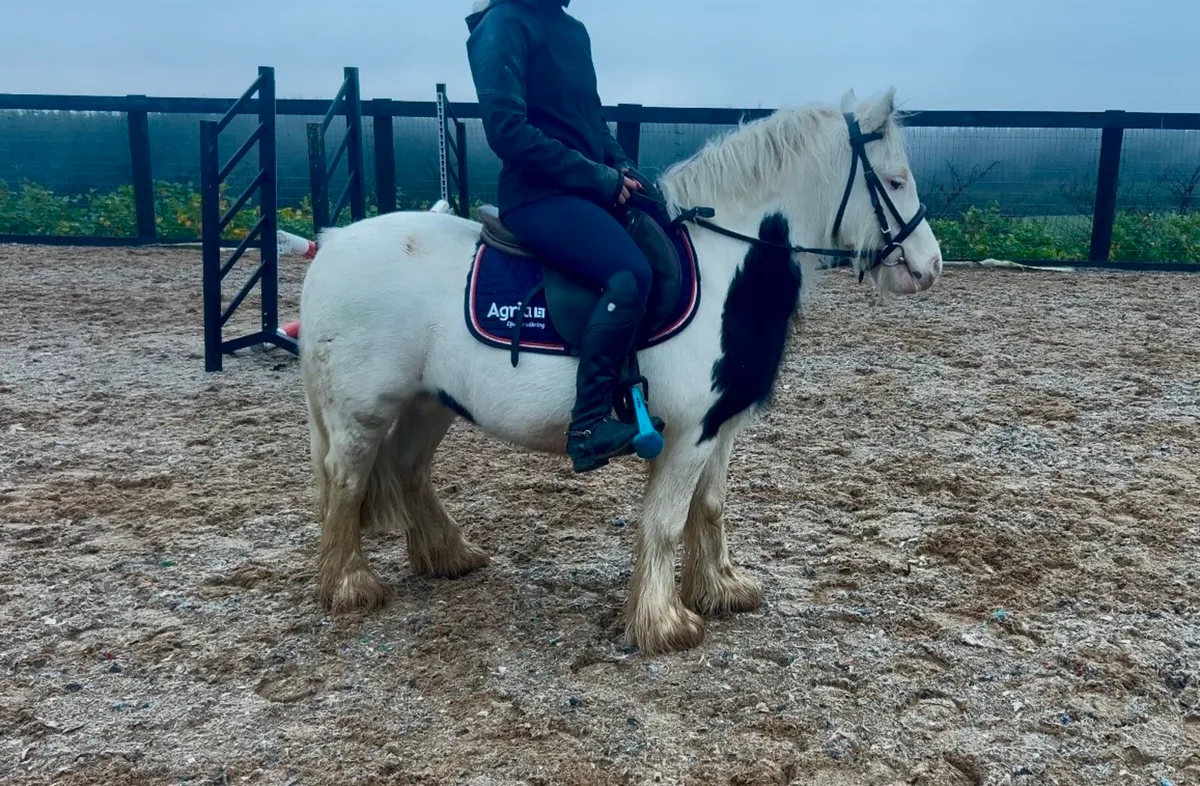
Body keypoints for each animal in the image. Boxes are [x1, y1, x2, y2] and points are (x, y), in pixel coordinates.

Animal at [297, 87, 943, 655]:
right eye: (895, 181)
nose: (931, 266)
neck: (728, 267)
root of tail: (333, 242)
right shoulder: (689, 434)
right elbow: (664, 522)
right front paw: (664, 624)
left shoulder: (721, 427)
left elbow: (709, 508)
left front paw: (720, 591)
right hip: (362, 412)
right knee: (346, 480)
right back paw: (350, 587)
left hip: (429, 403)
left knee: (408, 469)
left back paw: (450, 555)